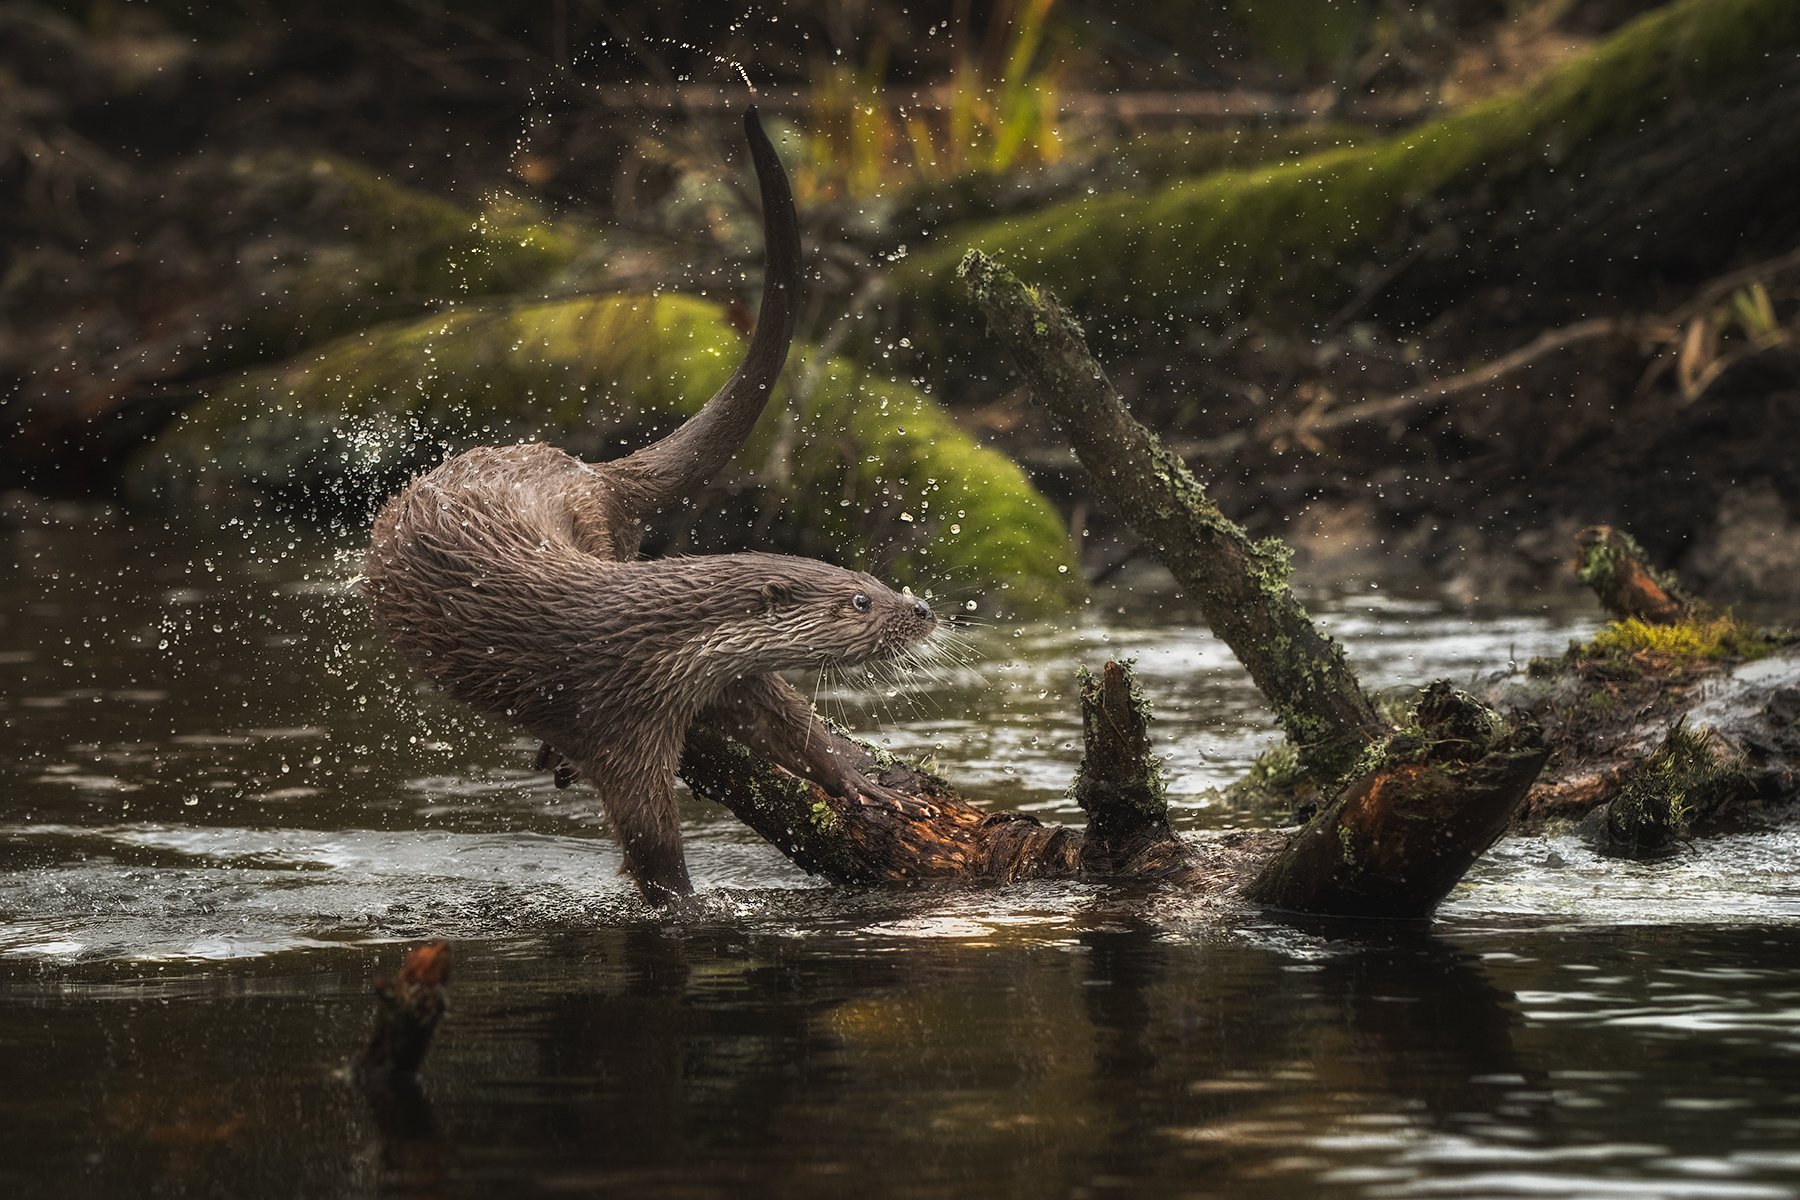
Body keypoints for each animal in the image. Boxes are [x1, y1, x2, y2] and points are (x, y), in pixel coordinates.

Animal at [360, 110, 936, 899]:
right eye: (859, 601)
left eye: (875, 581)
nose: (922, 610)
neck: (646, 643)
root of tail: (586, 470)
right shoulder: (617, 721)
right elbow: (653, 846)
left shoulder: (716, 679)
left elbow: (788, 721)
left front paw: (857, 778)